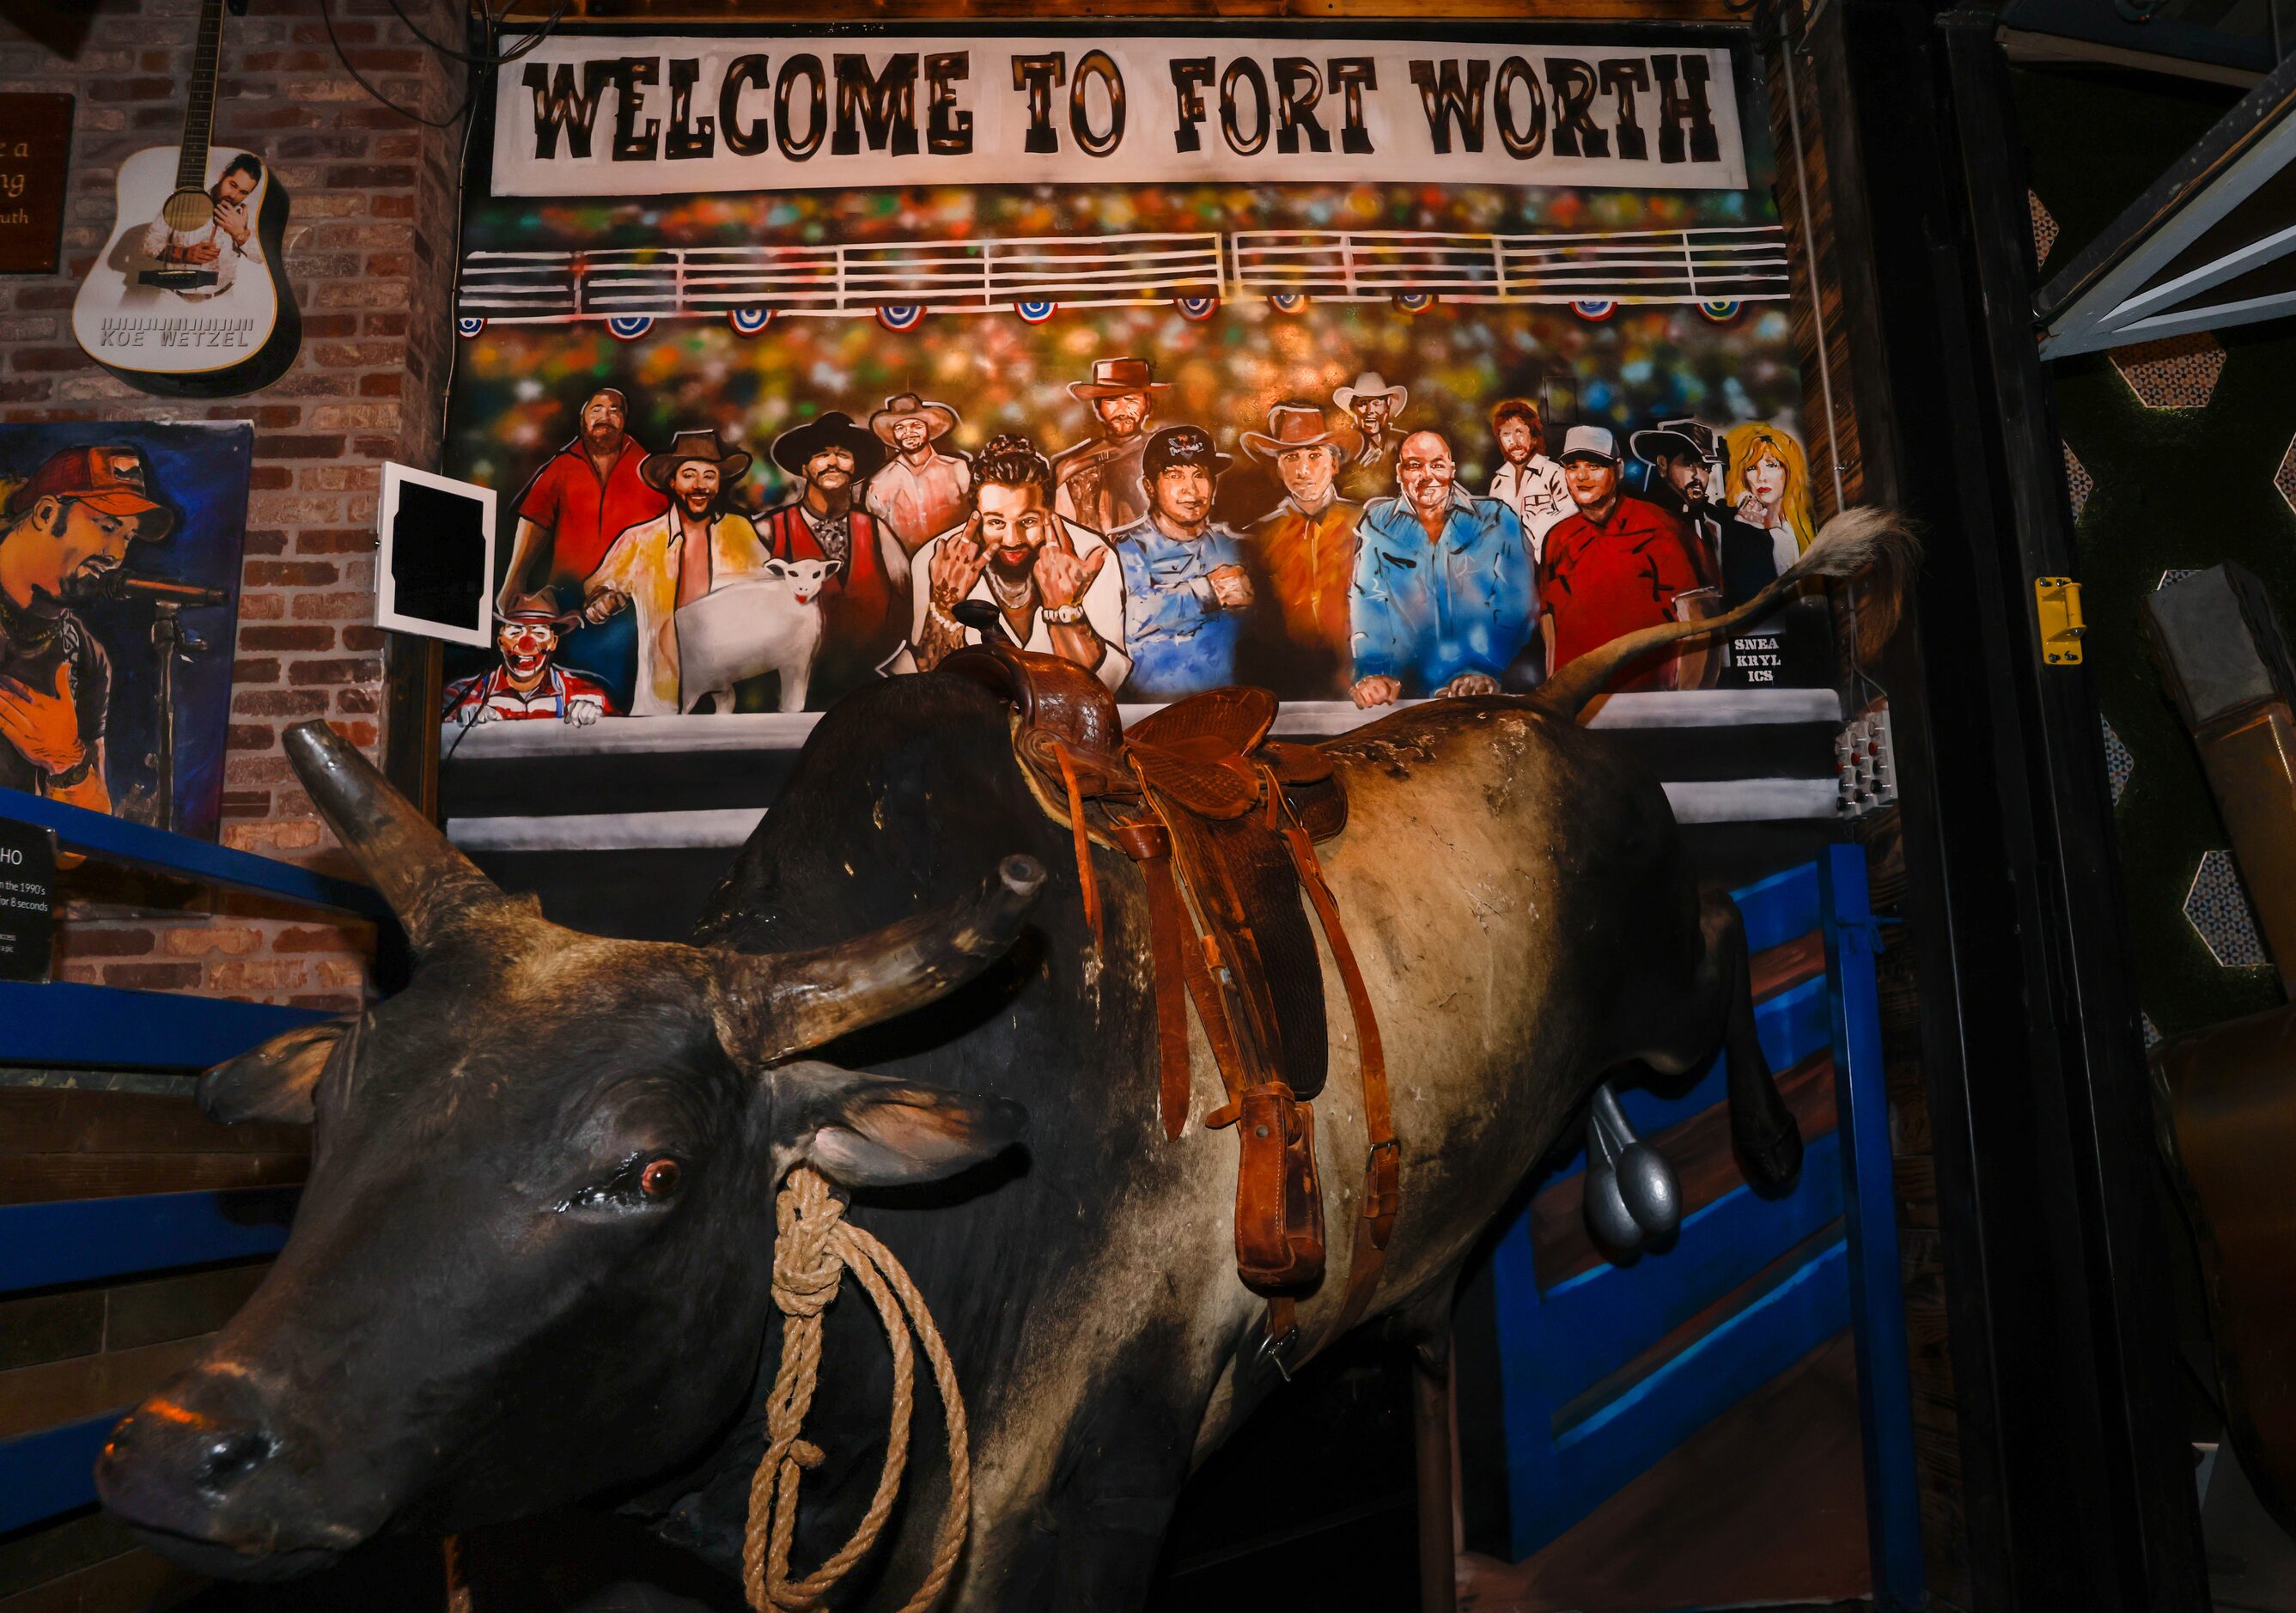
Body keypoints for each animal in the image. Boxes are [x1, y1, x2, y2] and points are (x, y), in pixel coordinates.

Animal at [94, 511, 1919, 1605]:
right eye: (338, 1116)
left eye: (649, 1166)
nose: (178, 1447)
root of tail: (1553, 713)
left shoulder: (1081, 1494)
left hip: (1669, 968)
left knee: (1726, 950)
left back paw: (1757, 1145)